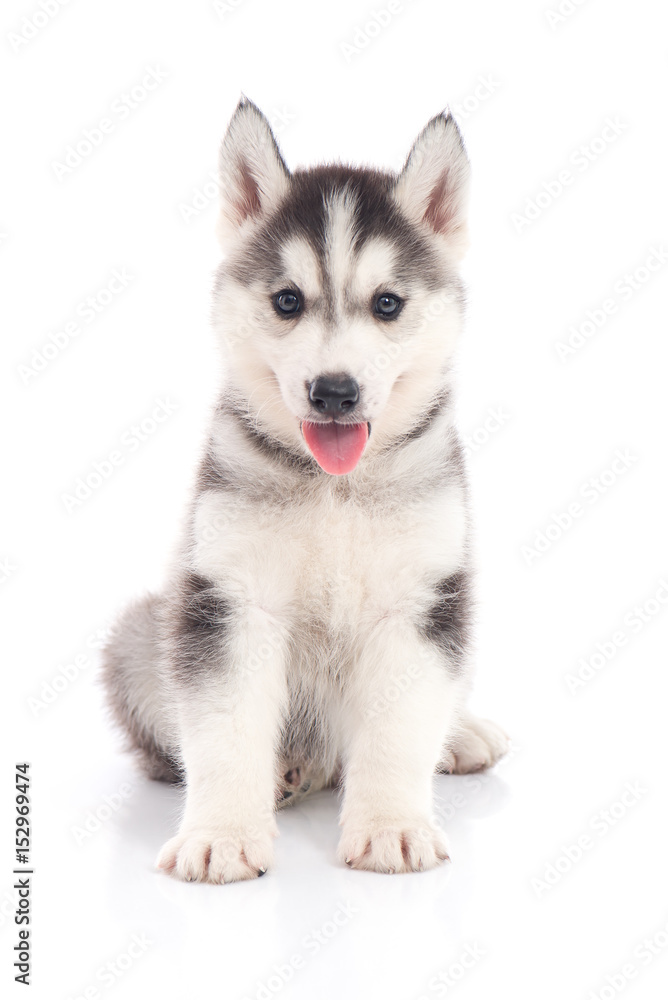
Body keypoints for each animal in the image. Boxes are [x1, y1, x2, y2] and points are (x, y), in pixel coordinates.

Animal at [100, 99, 506, 884]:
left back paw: (460, 735)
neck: (335, 489)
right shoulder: (228, 597)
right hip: (142, 638)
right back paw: (286, 769)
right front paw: (222, 834)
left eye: (388, 304)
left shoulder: (422, 598)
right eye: (288, 301)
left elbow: (400, 727)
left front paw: (392, 826)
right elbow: (225, 729)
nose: (335, 391)